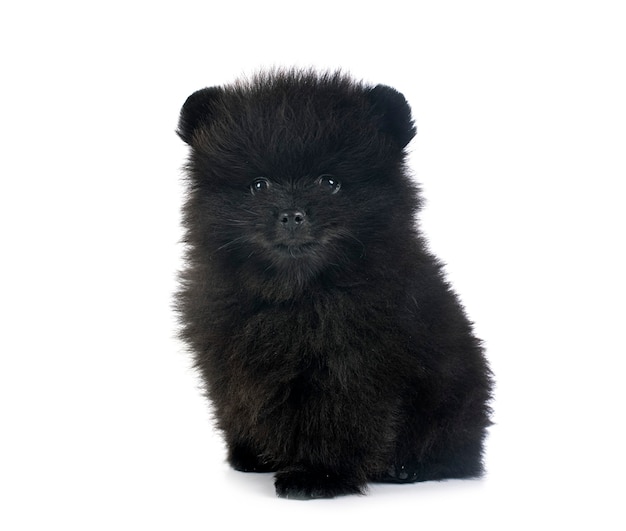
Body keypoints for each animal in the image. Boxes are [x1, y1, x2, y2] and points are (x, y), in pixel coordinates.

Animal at [176, 69, 492, 498]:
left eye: (329, 182)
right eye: (259, 185)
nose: (292, 214)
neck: (294, 292)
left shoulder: (351, 365)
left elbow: (337, 420)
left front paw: (318, 475)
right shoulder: (224, 355)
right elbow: (239, 404)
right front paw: (253, 455)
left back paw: (410, 467)